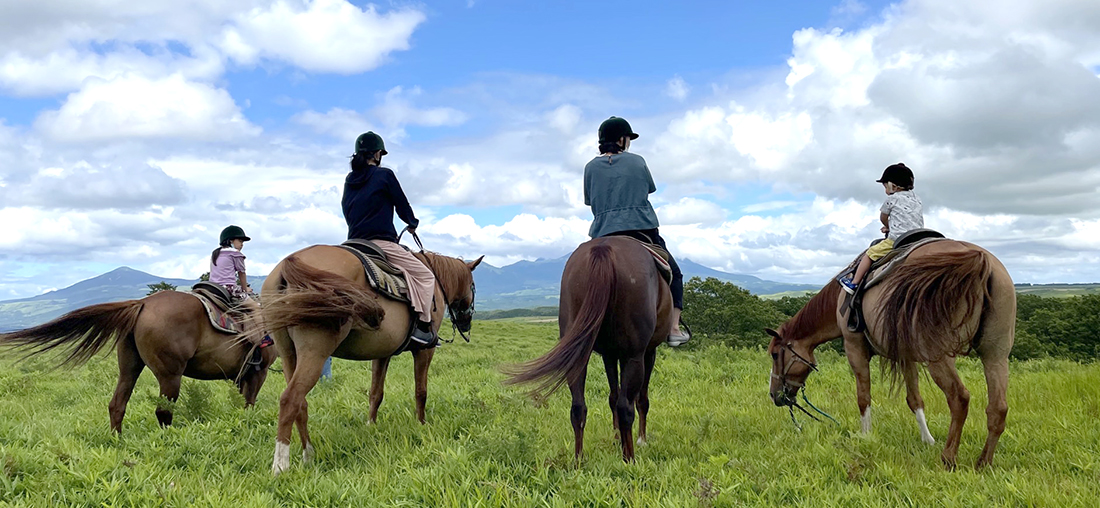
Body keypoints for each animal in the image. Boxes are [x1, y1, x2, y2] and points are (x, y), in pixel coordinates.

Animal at [0, 290, 275, 433]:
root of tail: (142, 303)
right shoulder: (258, 373)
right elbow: (249, 404)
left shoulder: (241, 376)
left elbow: (241, 402)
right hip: (170, 375)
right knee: (163, 410)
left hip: (129, 367)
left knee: (117, 404)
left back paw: (117, 439)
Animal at [257, 244, 486, 475]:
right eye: (473, 286)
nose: (466, 322)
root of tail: (286, 266)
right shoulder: (425, 351)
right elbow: (421, 392)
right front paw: (421, 424)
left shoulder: (382, 353)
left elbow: (376, 393)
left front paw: (371, 425)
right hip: (315, 352)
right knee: (290, 399)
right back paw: (281, 465)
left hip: (288, 353)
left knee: (300, 404)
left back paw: (309, 454)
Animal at [503, 236, 668, 461]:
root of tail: (602, 249)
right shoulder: (647, 351)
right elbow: (640, 399)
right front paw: (640, 439)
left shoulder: (609, 354)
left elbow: (612, 396)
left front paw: (616, 437)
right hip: (634, 355)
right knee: (626, 406)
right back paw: (629, 459)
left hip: (580, 351)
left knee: (578, 407)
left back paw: (579, 460)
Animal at [765, 239, 1012, 470]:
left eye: (775, 355)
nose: (774, 395)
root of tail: (979, 259)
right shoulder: (905, 356)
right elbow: (914, 400)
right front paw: (927, 440)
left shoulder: (855, 349)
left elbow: (863, 398)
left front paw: (865, 437)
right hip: (996, 355)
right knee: (998, 408)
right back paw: (983, 463)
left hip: (939, 356)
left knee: (959, 398)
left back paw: (948, 458)